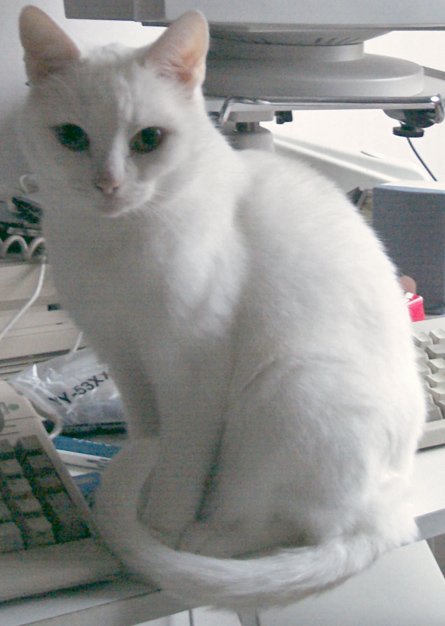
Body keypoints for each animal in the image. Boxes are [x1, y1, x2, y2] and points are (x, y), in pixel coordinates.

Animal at [19, 4, 424, 608]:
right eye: (70, 136)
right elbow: (149, 435)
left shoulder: (191, 374)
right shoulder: (126, 360)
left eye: (149, 139)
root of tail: (391, 518)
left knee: (288, 523)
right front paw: (144, 490)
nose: (107, 184)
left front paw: (156, 525)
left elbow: (179, 466)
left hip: (287, 388)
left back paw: (203, 538)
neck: (113, 245)